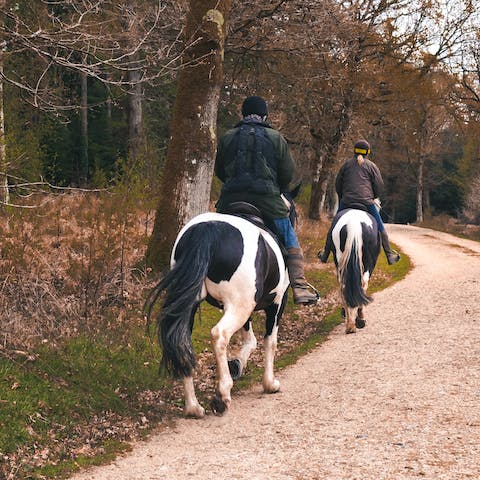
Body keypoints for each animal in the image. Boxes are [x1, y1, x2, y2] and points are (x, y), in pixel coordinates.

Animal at [144, 208, 290, 418]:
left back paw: (193, 407)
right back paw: (222, 395)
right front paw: (270, 384)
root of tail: (208, 230)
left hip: (192, 305)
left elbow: (250, 340)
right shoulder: (277, 303)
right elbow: (270, 342)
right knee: (219, 335)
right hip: (239, 305)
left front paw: (237, 364)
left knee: (182, 342)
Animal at [328, 208, 380, 336]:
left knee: (343, 286)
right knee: (363, 284)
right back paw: (359, 320)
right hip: (367, 264)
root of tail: (354, 224)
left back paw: (350, 325)